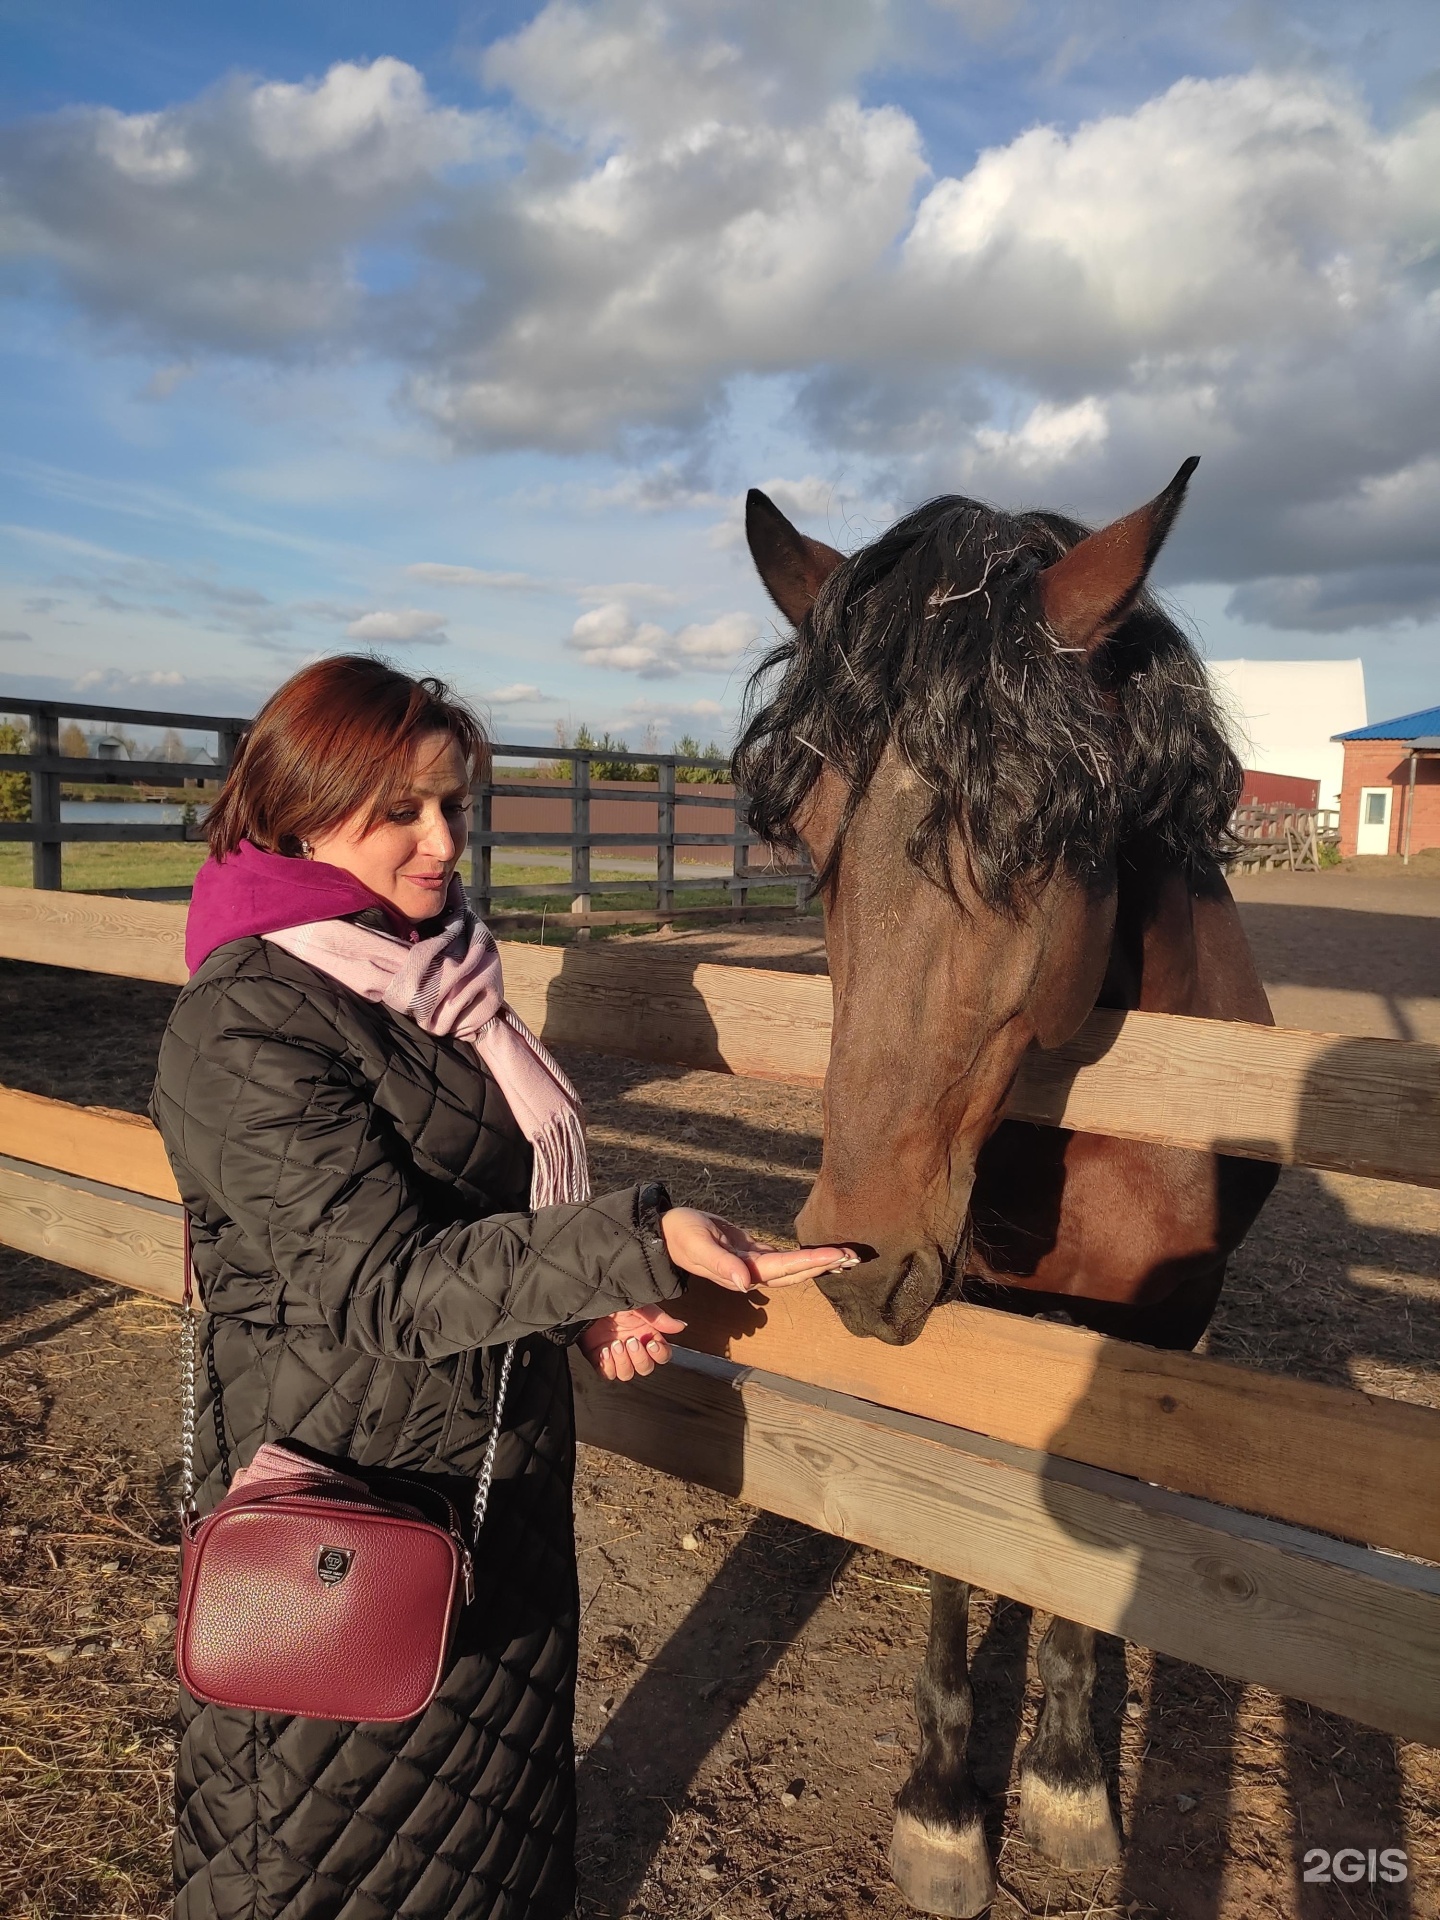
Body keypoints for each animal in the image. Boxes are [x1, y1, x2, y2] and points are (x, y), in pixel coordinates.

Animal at [737, 456, 1282, 1912]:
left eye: (1028, 836)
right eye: (809, 830)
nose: (860, 1253)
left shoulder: (1148, 1337)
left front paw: (1070, 1783)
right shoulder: (970, 1312)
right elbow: (954, 1552)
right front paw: (941, 1808)